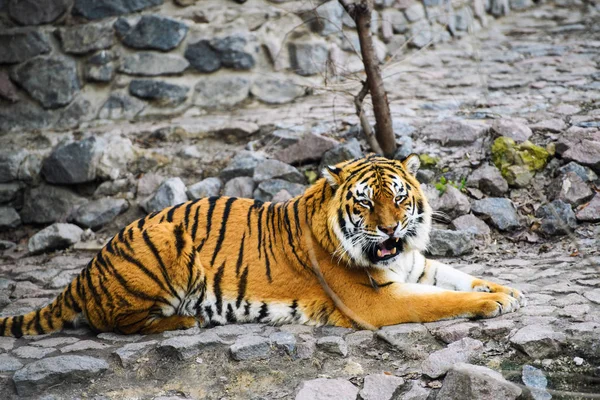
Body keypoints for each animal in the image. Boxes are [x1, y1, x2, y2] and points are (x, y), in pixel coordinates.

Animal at [0, 154, 524, 338]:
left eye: (397, 198)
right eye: (365, 203)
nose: (393, 230)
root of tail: (84, 272)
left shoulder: (411, 265)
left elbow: (454, 276)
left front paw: (507, 290)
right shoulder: (374, 302)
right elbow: (439, 300)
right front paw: (492, 302)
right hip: (163, 242)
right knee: (115, 323)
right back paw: (187, 321)